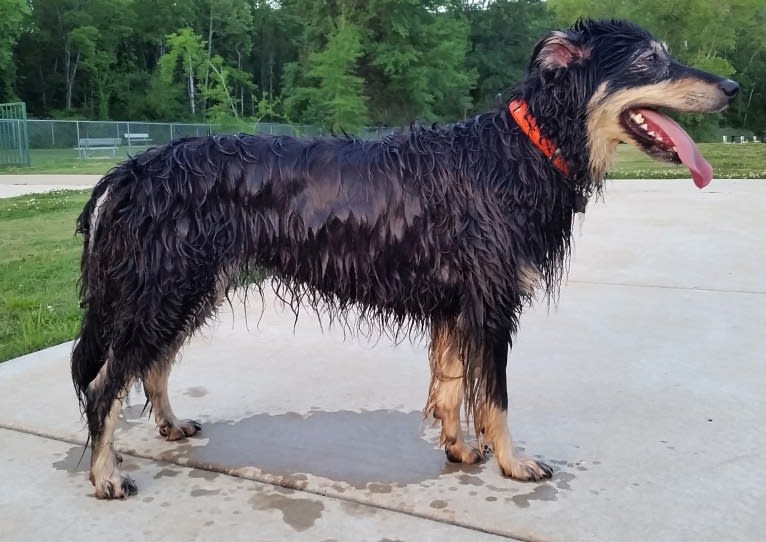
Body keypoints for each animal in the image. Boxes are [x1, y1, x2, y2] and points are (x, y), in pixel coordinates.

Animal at [72, 19, 736, 500]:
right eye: (650, 60)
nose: (733, 88)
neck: (521, 151)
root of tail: (132, 170)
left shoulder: (456, 303)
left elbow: (450, 386)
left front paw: (458, 450)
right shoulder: (490, 303)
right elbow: (493, 398)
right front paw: (513, 461)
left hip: (191, 286)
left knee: (152, 365)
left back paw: (169, 424)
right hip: (165, 287)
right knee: (106, 382)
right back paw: (104, 474)